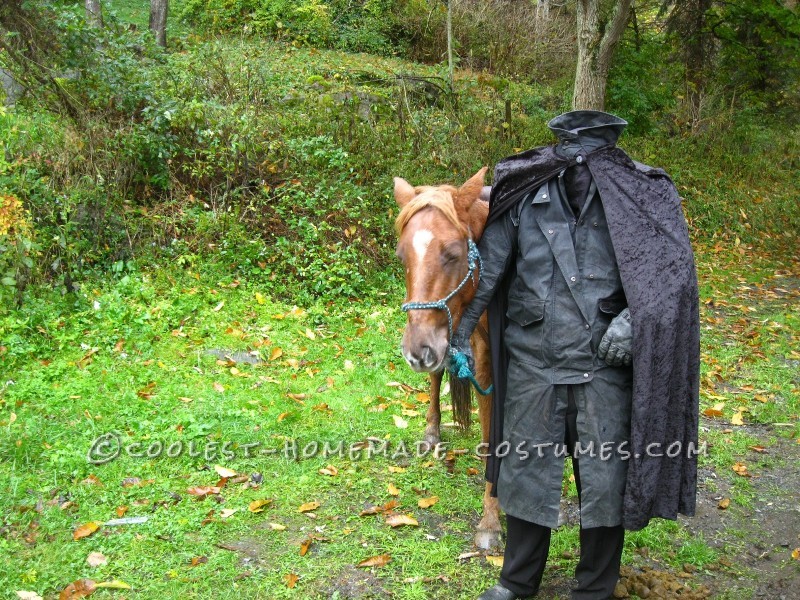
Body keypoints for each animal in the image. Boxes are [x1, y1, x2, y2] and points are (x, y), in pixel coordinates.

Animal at [394, 166, 500, 552]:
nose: (417, 351)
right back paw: (432, 431)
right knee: (436, 376)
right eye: (401, 257)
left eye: (453, 254)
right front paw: (492, 520)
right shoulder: (484, 359)